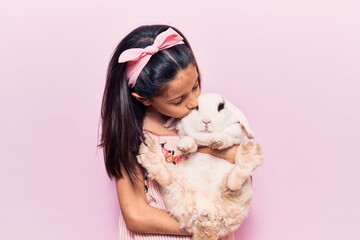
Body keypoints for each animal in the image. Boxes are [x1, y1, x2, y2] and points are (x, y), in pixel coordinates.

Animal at [136, 92, 262, 240]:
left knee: (232, 185)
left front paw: (217, 141)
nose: (206, 121)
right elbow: (189, 139)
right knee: (166, 179)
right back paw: (149, 152)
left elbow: (227, 138)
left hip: (240, 196)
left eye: (221, 106)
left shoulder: (234, 136)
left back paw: (250, 152)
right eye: (195, 107)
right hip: (176, 192)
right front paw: (185, 146)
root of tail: (206, 222)